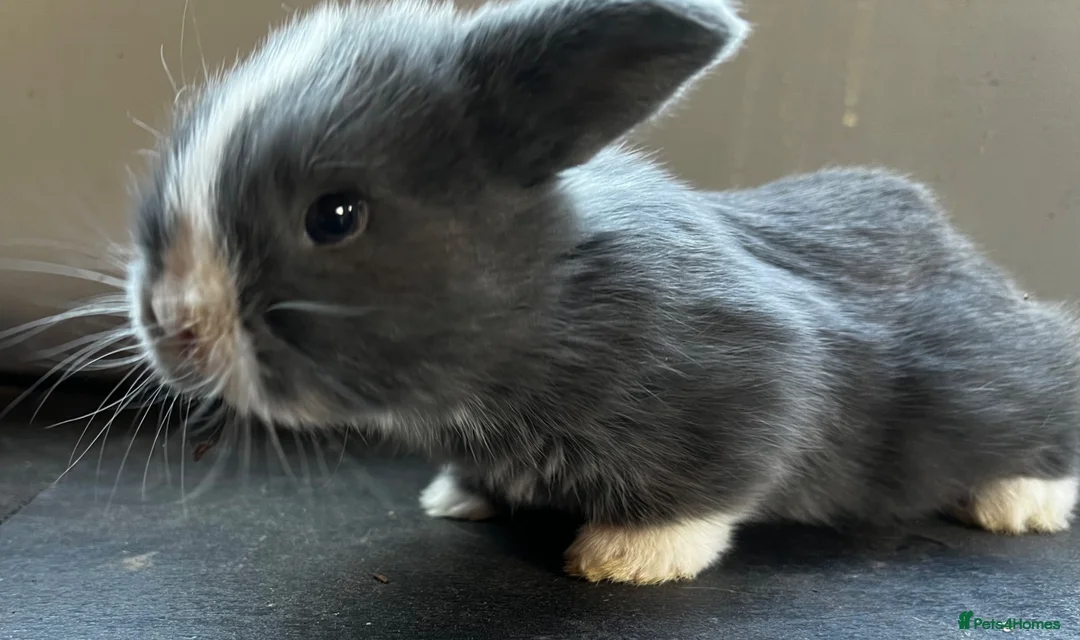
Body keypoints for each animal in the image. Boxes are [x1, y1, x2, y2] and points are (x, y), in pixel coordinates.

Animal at [125, 0, 1080, 585]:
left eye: (335, 215)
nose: (175, 327)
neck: (553, 297)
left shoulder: (758, 374)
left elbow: (717, 482)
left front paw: (625, 558)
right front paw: (458, 497)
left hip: (994, 379)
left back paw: (1020, 504)